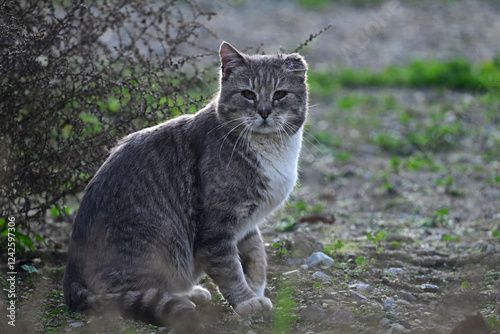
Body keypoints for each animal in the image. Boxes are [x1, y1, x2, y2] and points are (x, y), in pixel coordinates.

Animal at [63, 41, 308, 332]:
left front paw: (256, 291)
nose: (264, 112)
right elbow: (230, 268)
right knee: (120, 295)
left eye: (280, 94)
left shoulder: (247, 223)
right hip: (158, 239)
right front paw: (247, 301)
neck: (271, 148)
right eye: (248, 94)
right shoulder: (216, 226)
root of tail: (71, 277)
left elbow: (256, 256)